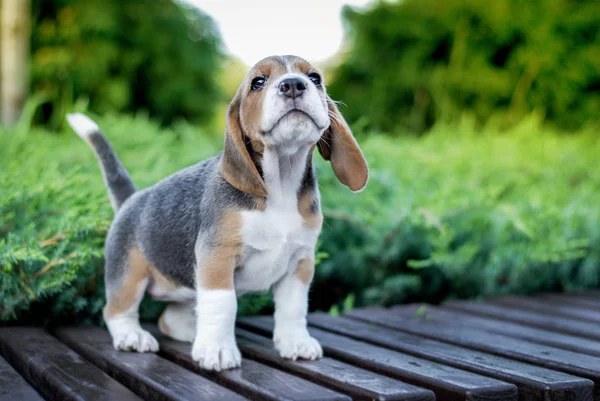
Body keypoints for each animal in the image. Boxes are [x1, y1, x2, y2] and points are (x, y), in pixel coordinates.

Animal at [64, 54, 366, 370]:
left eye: (315, 78)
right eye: (258, 82)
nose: (294, 84)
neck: (280, 183)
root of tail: (131, 199)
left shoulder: (300, 262)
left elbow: (293, 308)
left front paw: (295, 341)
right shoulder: (217, 256)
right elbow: (223, 303)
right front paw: (217, 349)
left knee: (170, 318)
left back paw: (191, 331)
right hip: (128, 273)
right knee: (116, 310)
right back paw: (132, 335)